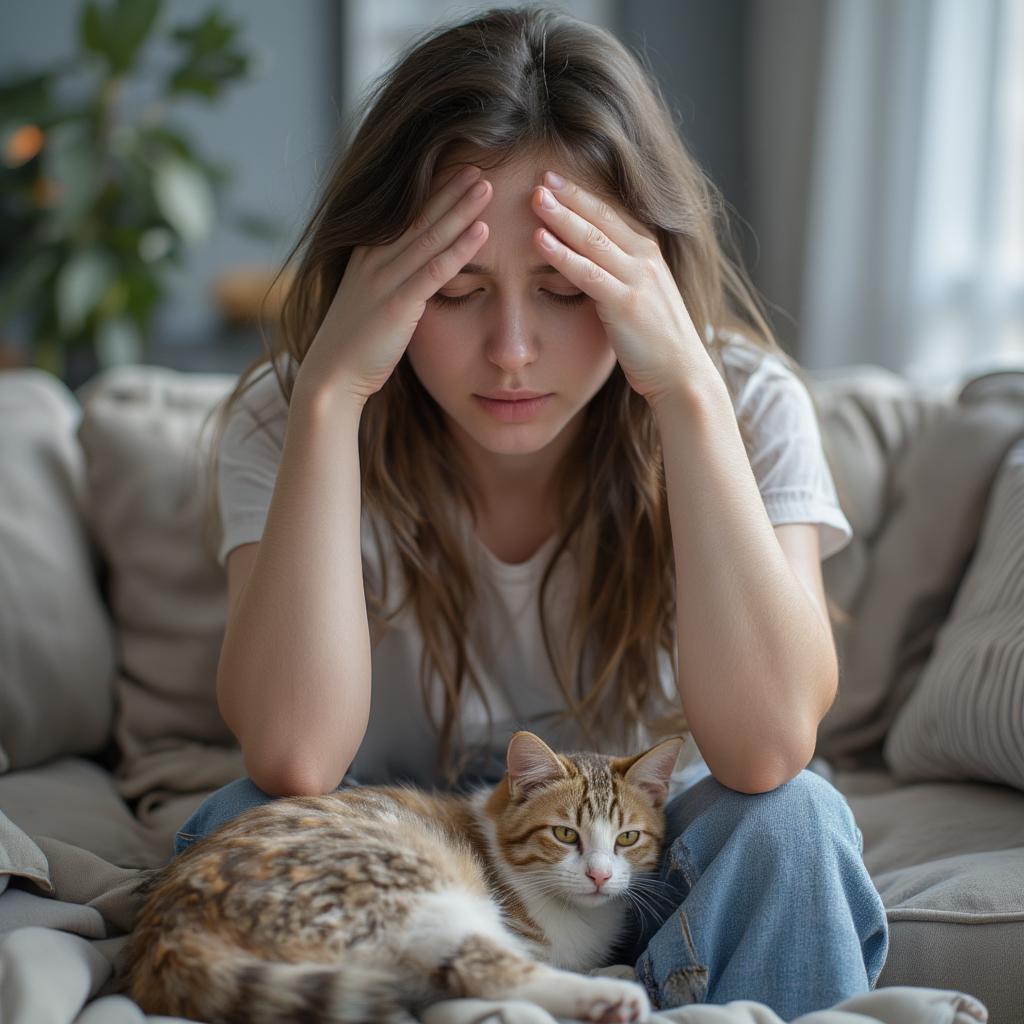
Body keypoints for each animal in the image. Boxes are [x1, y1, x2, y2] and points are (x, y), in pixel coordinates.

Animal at [119, 729, 684, 1024]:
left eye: (627, 839)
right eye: (565, 835)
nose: (599, 876)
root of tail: (164, 928)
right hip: (403, 883)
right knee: (481, 969)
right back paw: (608, 998)